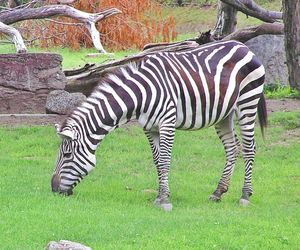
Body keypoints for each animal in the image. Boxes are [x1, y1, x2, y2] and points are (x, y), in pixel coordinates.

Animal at [51, 39, 268, 211]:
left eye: (67, 155)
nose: (53, 189)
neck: (140, 95)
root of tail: (244, 47)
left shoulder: (167, 123)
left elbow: (164, 160)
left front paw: (164, 200)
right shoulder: (149, 128)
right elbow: (157, 161)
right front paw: (160, 195)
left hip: (247, 103)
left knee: (249, 148)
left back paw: (245, 195)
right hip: (224, 114)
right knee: (232, 148)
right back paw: (218, 192)